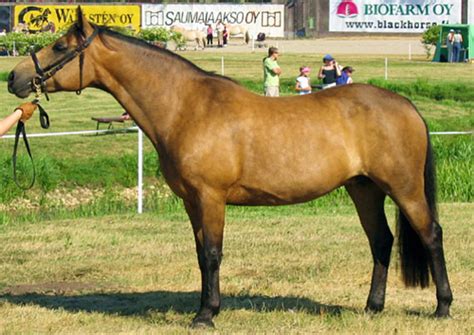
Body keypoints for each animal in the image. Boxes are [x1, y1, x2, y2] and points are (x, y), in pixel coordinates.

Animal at [7, 9, 452, 330]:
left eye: (59, 45)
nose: (14, 77)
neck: (186, 106)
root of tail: (406, 106)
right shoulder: (191, 202)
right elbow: (201, 253)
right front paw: (206, 308)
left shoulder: (211, 197)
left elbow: (213, 253)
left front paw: (206, 315)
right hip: (363, 189)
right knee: (381, 241)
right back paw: (372, 308)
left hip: (404, 188)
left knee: (430, 235)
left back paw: (442, 307)